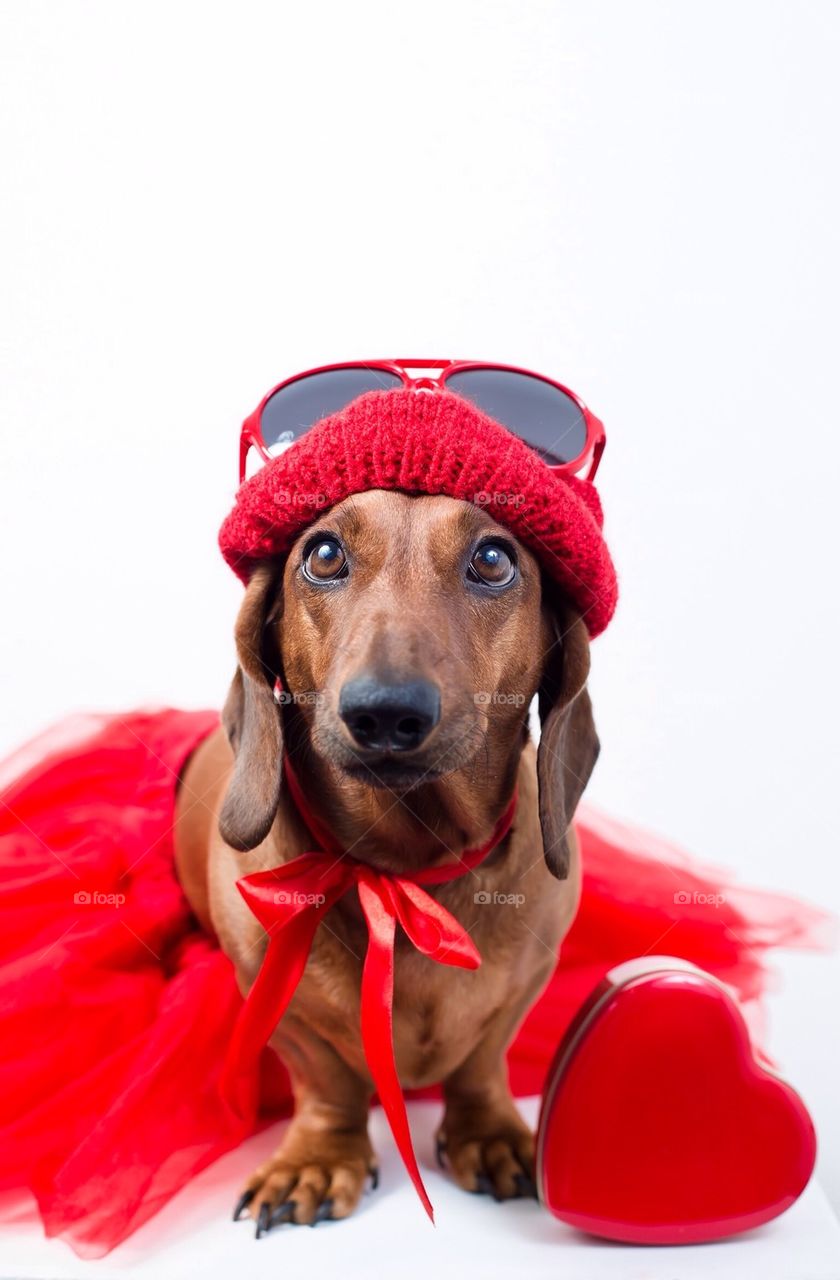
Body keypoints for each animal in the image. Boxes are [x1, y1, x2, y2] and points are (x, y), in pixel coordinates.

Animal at [174, 486, 599, 1228]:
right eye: (323, 553)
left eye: (493, 559)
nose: (386, 713)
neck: (406, 872)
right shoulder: (275, 999)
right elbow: (326, 1080)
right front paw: (317, 1159)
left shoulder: (525, 987)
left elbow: (481, 1063)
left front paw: (490, 1134)